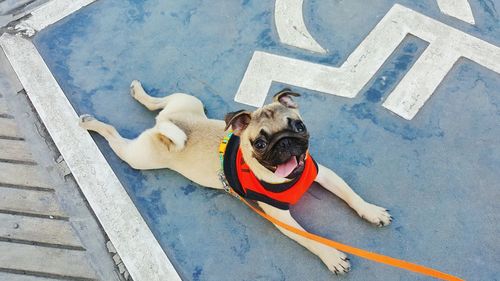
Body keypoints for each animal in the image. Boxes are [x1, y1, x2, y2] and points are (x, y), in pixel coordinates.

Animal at [79, 80, 390, 274]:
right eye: (260, 143)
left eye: (298, 126)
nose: (285, 142)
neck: (289, 178)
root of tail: (164, 127)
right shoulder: (284, 220)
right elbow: (313, 239)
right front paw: (332, 256)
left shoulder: (323, 175)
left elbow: (350, 195)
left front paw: (371, 211)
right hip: (139, 156)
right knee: (114, 135)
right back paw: (91, 123)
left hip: (186, 101)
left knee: (157, 104)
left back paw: (139, 92)